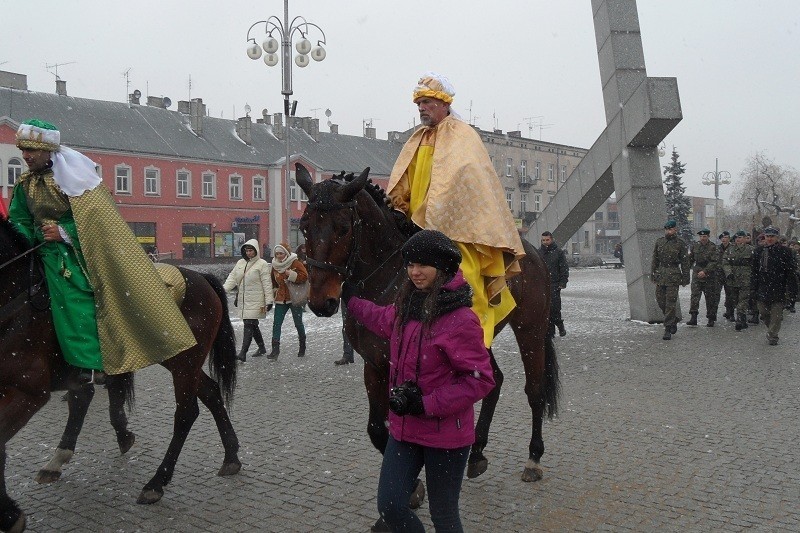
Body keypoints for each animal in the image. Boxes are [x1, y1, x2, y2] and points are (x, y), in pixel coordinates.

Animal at [0, 217, 241, 532]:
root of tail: (201, 279)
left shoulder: (28, 391)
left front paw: (11, 513)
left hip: (184, 362)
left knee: (186, 413)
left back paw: (156, 482)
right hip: (178, 361)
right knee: (211, 393)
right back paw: (231, 456)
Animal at [296, 165, 560, 482]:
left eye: (343, 228)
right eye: (304, 226)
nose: (320, 302)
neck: (389, 279)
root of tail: (532, 252)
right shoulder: (374, 365)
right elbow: (376, 428)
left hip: (531, 330)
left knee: (535, 391)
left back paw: (533, 457)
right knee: (494, 380)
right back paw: (477, 452)